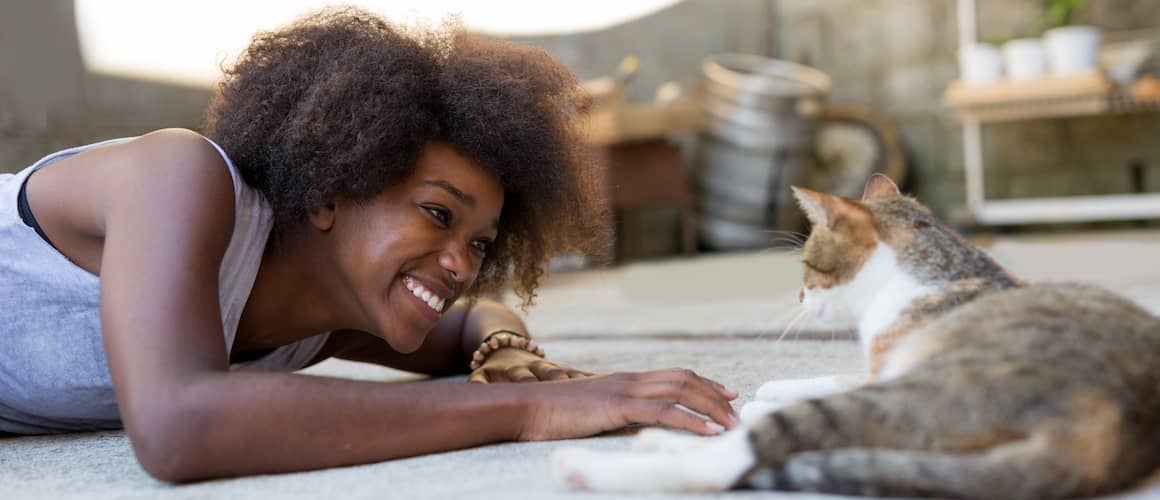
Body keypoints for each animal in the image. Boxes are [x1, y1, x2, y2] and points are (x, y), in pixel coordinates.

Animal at [549, 174, 1160, 498]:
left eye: (808, 266)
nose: (798, 298)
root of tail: (1115, 423)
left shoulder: (883, 370)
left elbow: (796, 393)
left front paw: (750, 404)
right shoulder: (875, 366)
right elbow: (813, 378)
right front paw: (759, 393)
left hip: (930, 392)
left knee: (741, 456)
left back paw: (604, 463)